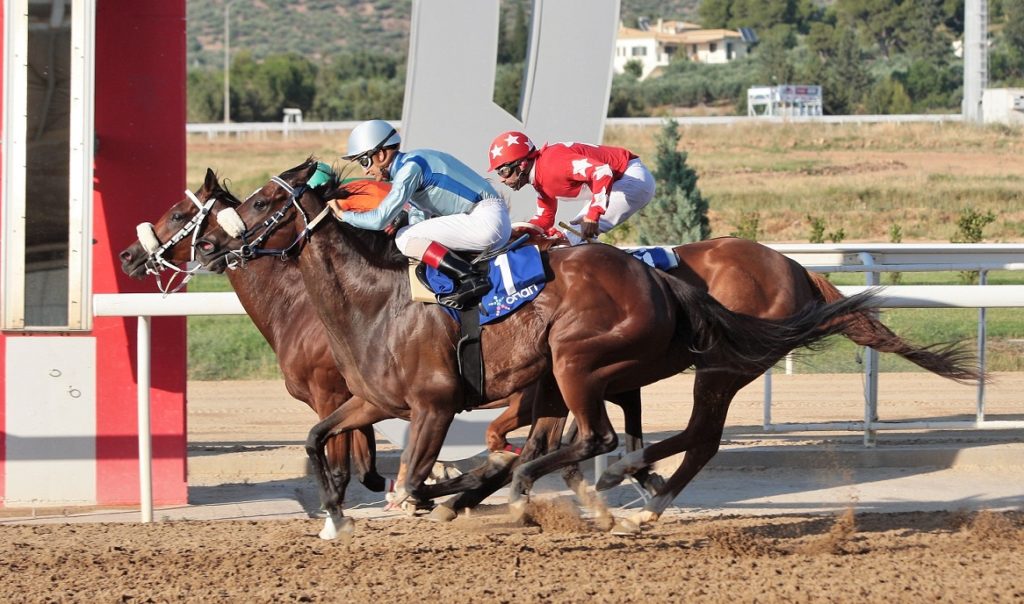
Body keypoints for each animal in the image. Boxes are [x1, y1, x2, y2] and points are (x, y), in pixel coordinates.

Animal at [193, 160, 905, 536]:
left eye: (261, 201)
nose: (216, 246)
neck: (377, 300)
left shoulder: (436, 404)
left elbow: (410, 478)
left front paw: (442, 494)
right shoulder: (371, 400)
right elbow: (321, 440)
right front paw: (335, 516)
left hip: (598, 361)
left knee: (633, 438)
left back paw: (605, 489)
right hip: (594, 372)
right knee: (630, 439)